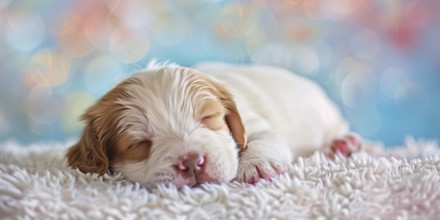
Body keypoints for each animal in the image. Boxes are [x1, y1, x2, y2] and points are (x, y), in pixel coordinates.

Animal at [66, 62, 360, 187]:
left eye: (207, 119)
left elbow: (264, 140)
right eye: (139, 144)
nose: (192, 162)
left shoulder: (255, 123)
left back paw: (343, 144)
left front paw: (257, 166)